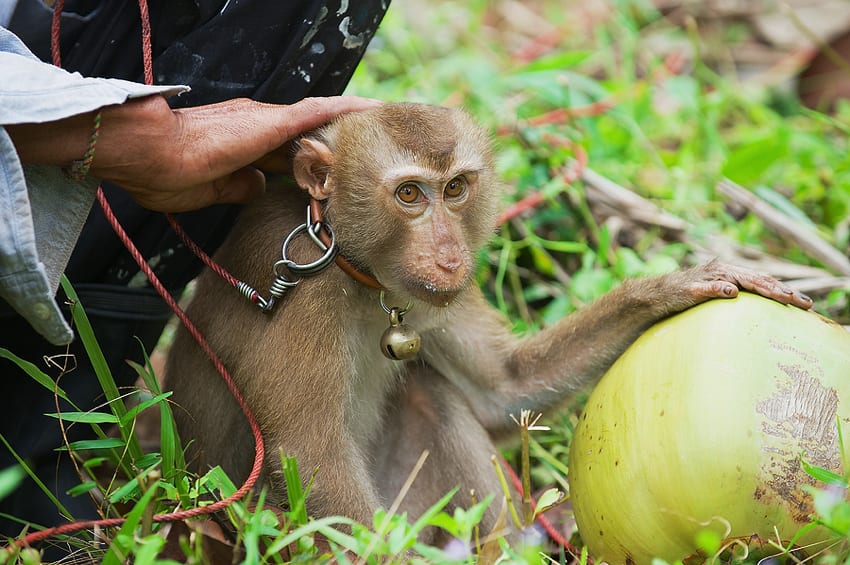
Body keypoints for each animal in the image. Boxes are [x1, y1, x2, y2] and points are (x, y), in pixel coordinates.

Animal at [164, 102, 808, 548]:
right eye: (408, 194)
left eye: (455, 189)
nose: (451, 256)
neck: (355, 270)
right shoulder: (303, 289)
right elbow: (310, 453)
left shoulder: (432, 297)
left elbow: (503, 390)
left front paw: (672, 288)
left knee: (431, 394)